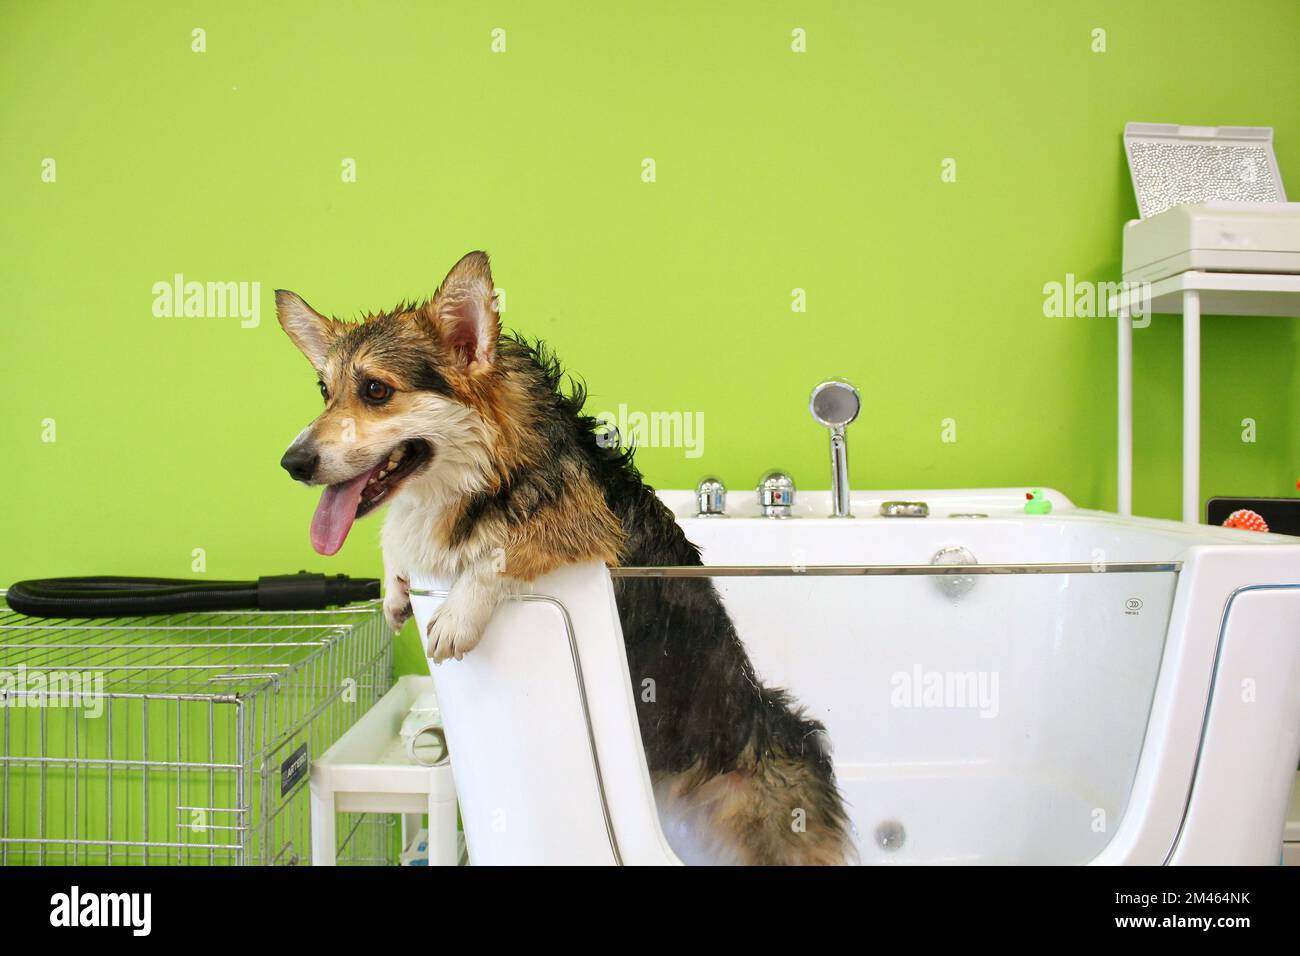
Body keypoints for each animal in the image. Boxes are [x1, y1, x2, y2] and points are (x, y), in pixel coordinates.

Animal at [274, 254, 852, 868]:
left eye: (376, 389)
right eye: (324, 390)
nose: (291, 463)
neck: (491, 466)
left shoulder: (585, 526)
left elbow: (500, 547)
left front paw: (457, 613)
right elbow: (401, 535)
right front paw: (395, 584)